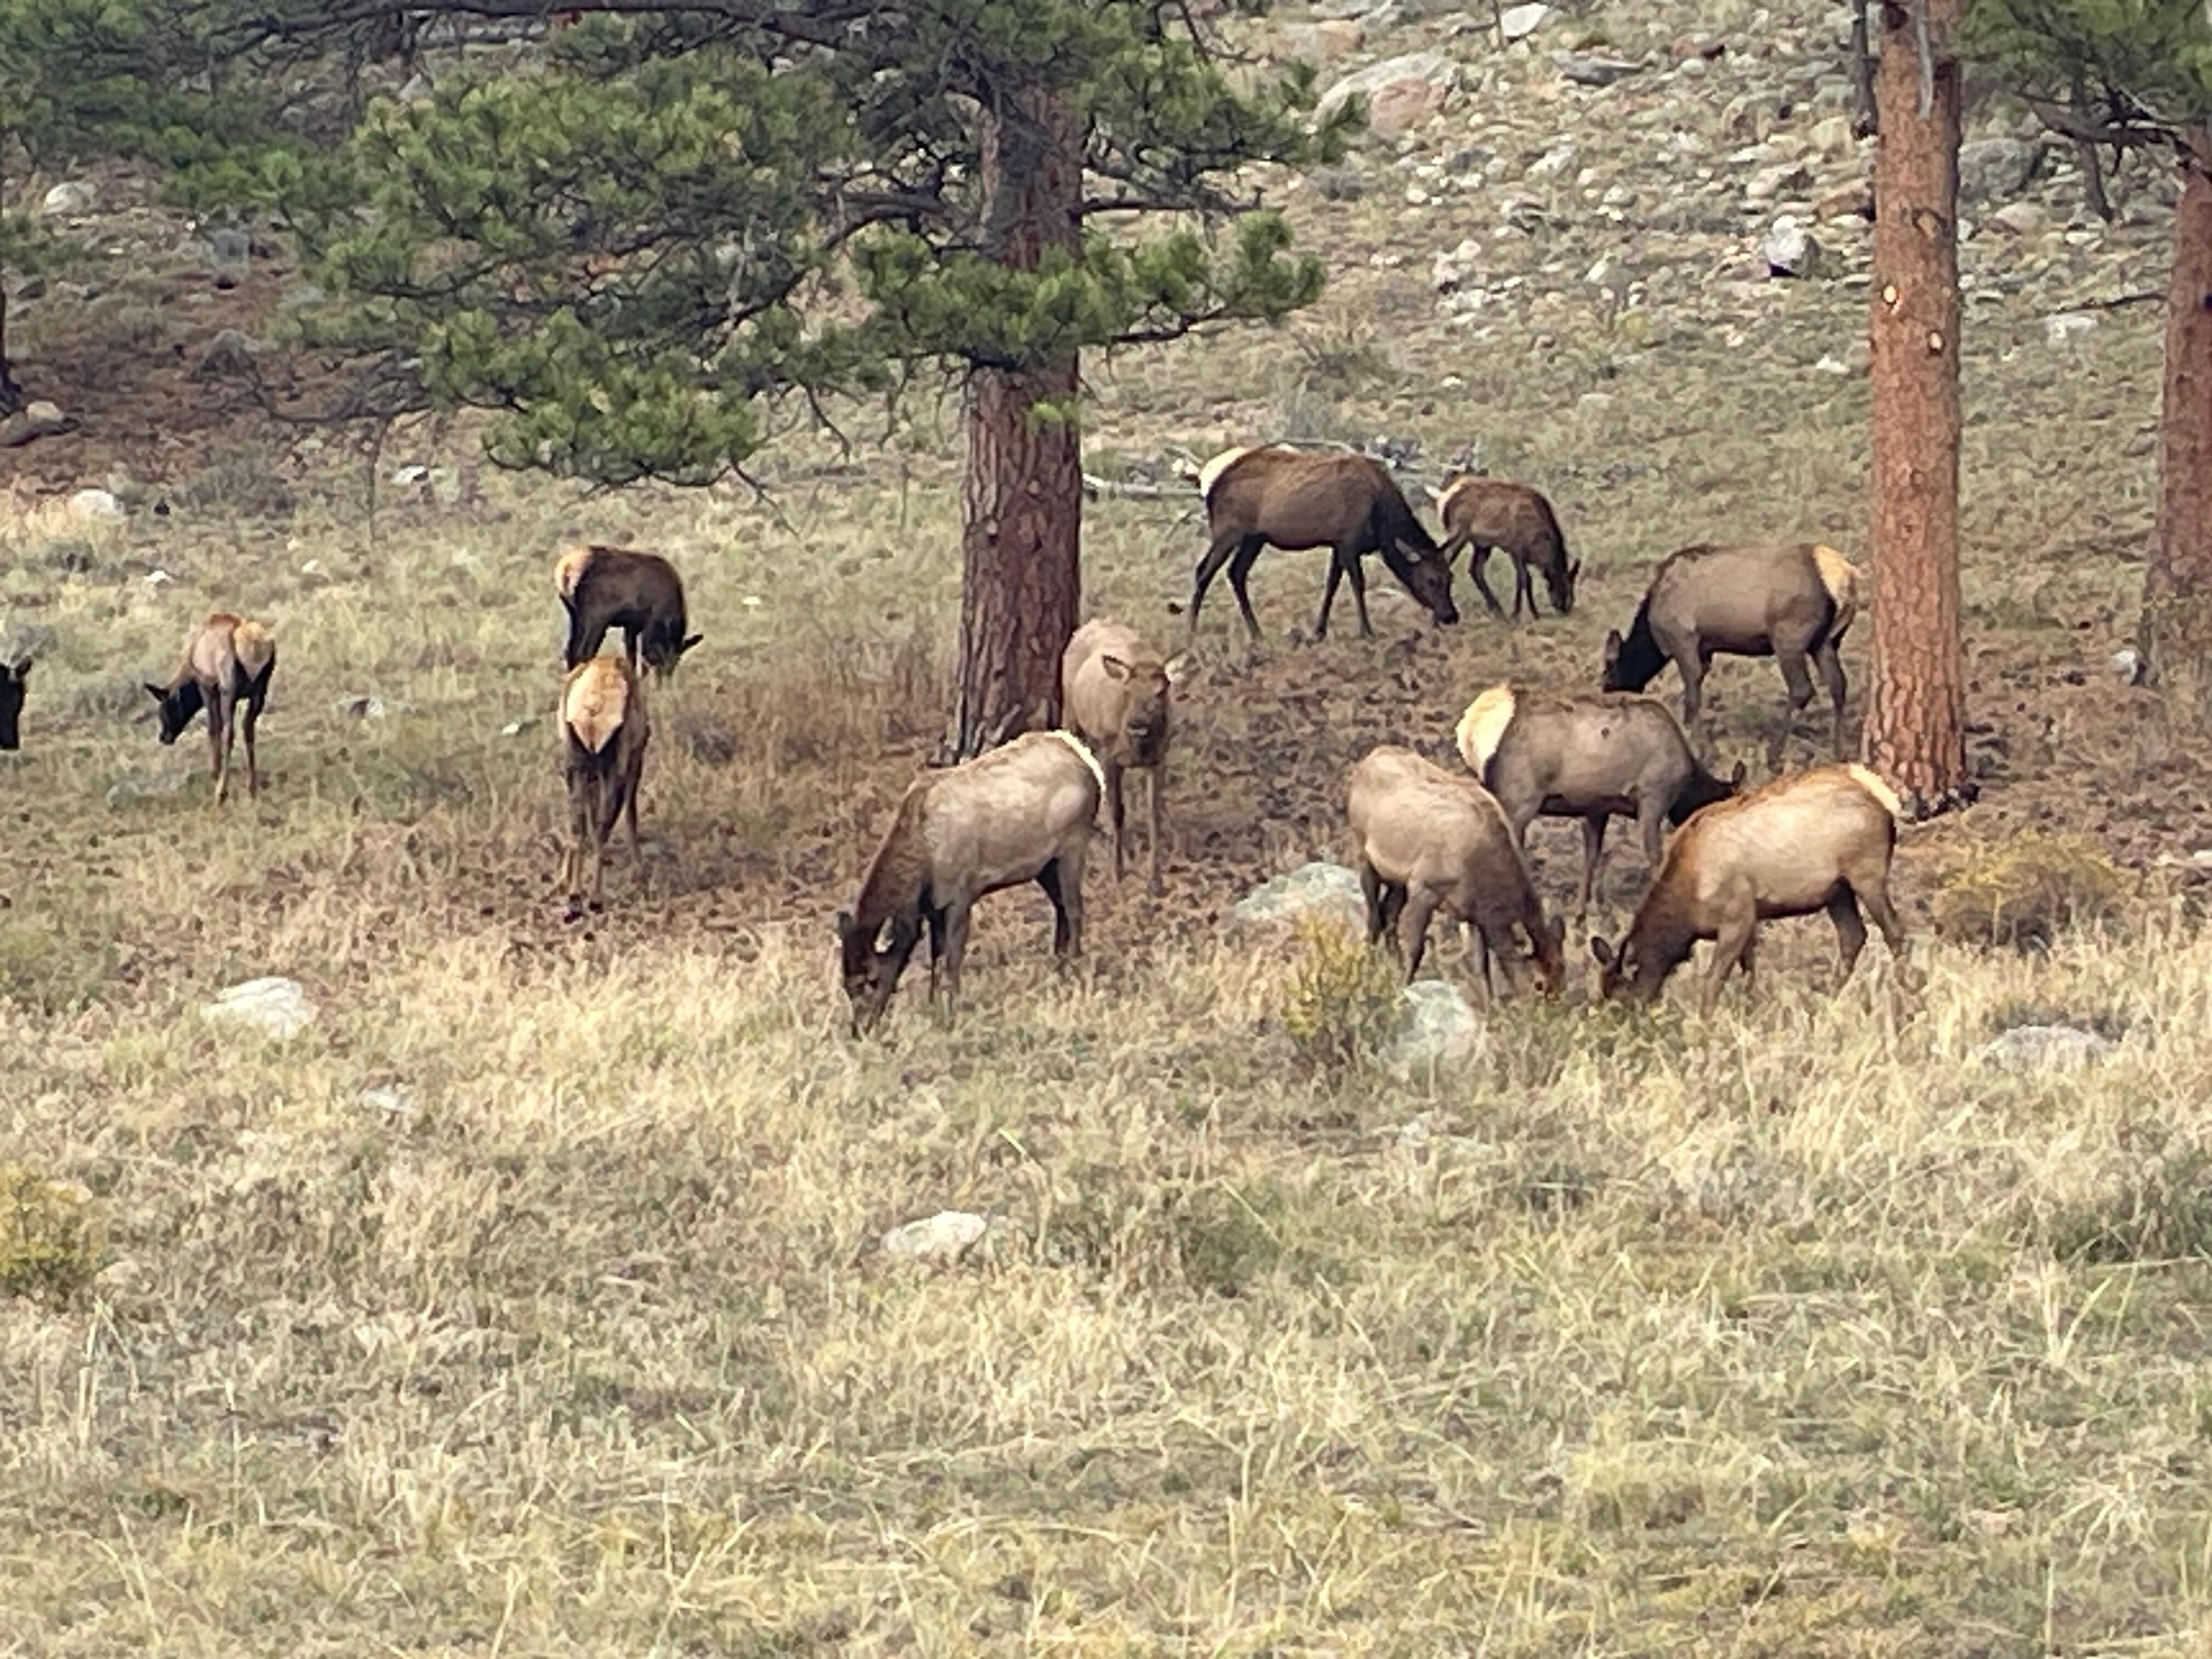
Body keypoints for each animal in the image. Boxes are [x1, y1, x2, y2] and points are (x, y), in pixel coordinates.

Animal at [144, 613, 277, 803]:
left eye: (164, 708)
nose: (164, 737)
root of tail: (254, 646)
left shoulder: (208, 686)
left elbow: (214, 727)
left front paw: (214, 772)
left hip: (229, 691)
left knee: (230, 733)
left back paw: (221, 792)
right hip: (259, 693)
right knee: (248, 730)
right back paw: (252, 788)